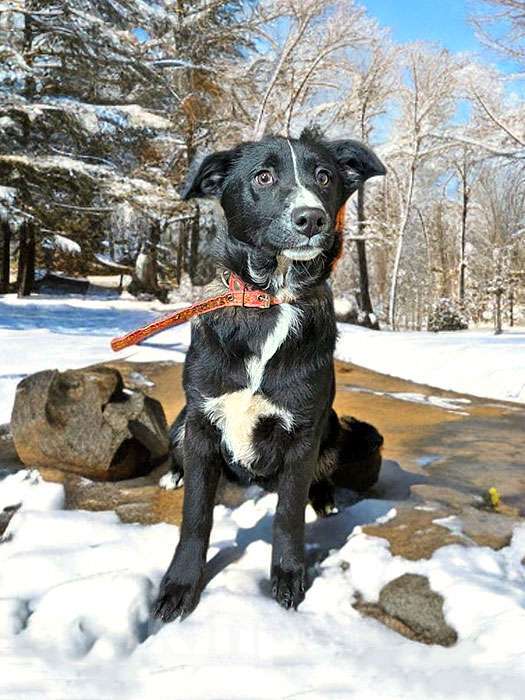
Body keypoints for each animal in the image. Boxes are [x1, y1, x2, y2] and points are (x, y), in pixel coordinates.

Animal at [151, 129, 384, 620]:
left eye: (324, 176)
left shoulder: (303, 432)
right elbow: (195, 516)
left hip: (332, 427)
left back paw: (326, 499)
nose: (311, 219)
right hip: (181, 422)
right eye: (263, 177)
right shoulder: (202, 423)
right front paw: (180, 584)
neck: (271, 299)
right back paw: (173, 474)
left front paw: (288, 575)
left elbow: (288, 514)